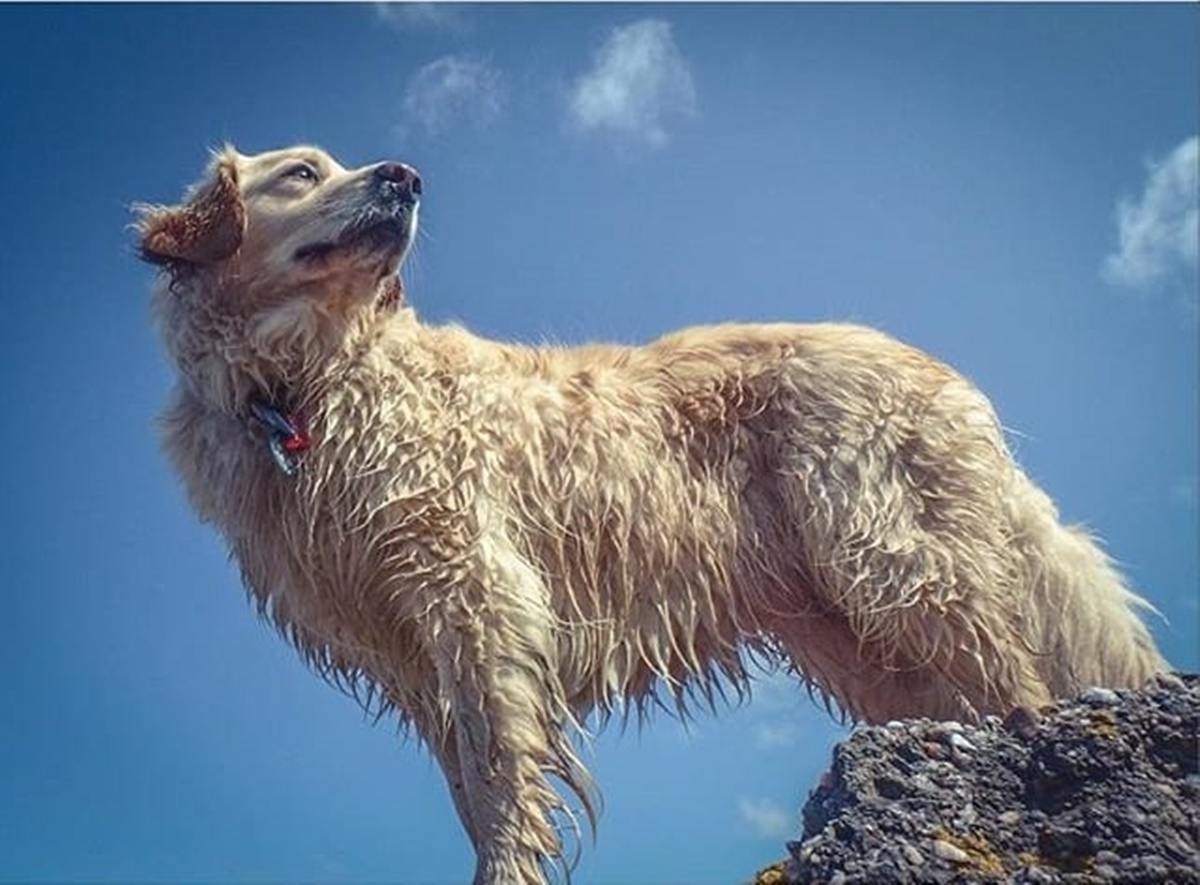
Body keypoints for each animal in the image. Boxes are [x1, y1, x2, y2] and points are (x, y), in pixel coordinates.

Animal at [136, 143, 1166, 877]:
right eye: (302, 172)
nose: (407, 176)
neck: (306, 378)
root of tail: (939, 368)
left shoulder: (475, 593)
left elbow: (503, 777)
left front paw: (510, 866)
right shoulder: (413, 651)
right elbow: (471, 780)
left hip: (889, 554)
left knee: (1013, 677)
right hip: (850, 629)